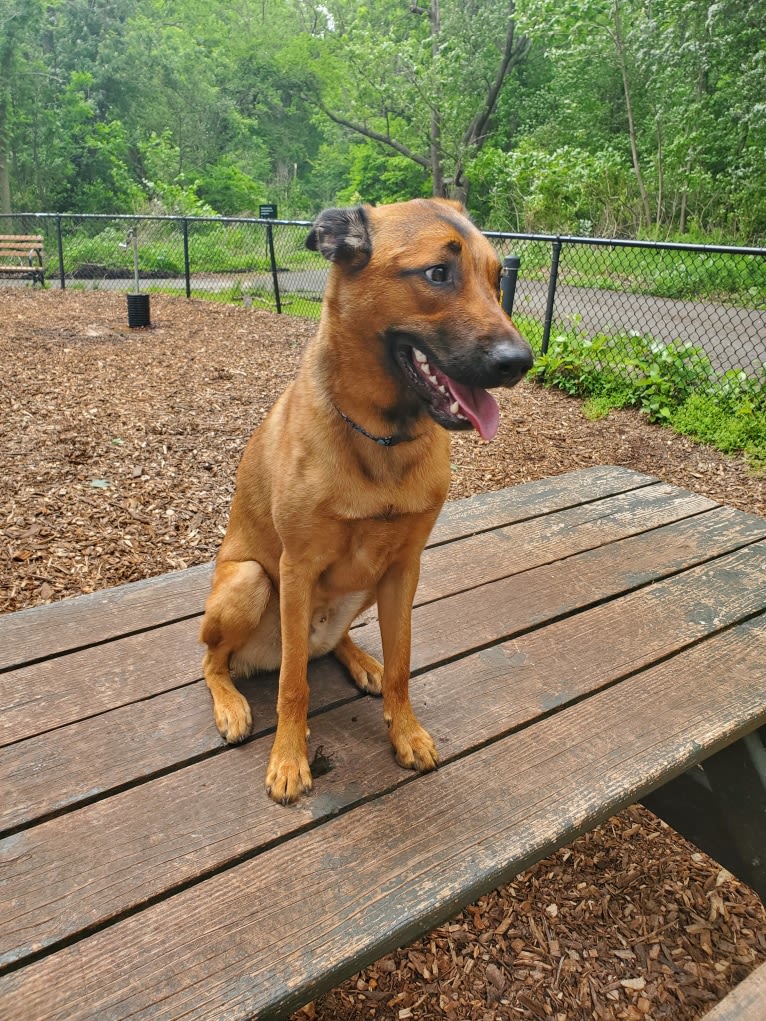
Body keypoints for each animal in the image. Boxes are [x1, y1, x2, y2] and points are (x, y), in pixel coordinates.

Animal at [198, 197, 535, 804]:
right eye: (438, 273)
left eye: (499, 279)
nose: (520, 362)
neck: (383, 439)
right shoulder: (297, 568)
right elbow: (293, 686)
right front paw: (289, 758)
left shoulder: (404, 569)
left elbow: (403, 665)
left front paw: (406, 731)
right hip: (250, 582)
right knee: (219, 660)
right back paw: (231, 702)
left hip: (366, 586)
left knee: (325, 647)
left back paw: (359, 660)